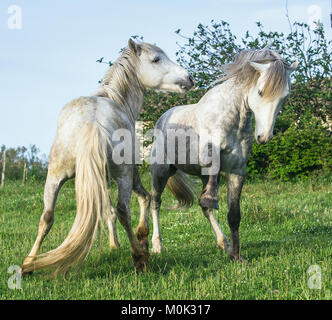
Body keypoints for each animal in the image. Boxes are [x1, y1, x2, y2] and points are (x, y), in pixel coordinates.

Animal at [21, 38, 195, 276]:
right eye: (156, 59)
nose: (189, 78)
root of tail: (92, 123)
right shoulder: (130, 175)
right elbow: (142, 200)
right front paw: (142, 239)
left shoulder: (100, 178)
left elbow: (107, 210)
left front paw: (115, 245)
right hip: (123, 177)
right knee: (125, 210)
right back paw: (139, 258)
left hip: (55, 177)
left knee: (46, 216)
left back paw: (28, 264)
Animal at [148, 48, 298, 262]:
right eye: (260, 92)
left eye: (284, 97)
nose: (263, 137)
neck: (234, 118)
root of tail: (162, 118)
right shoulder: (210, 155)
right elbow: (212, 171)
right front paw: (211, 197)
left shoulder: (237, 171)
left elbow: (234, 215)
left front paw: (236, 256)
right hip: (160, 172)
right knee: (155, 203)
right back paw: (157, 245)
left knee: (205, 209)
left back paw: (224, 243)